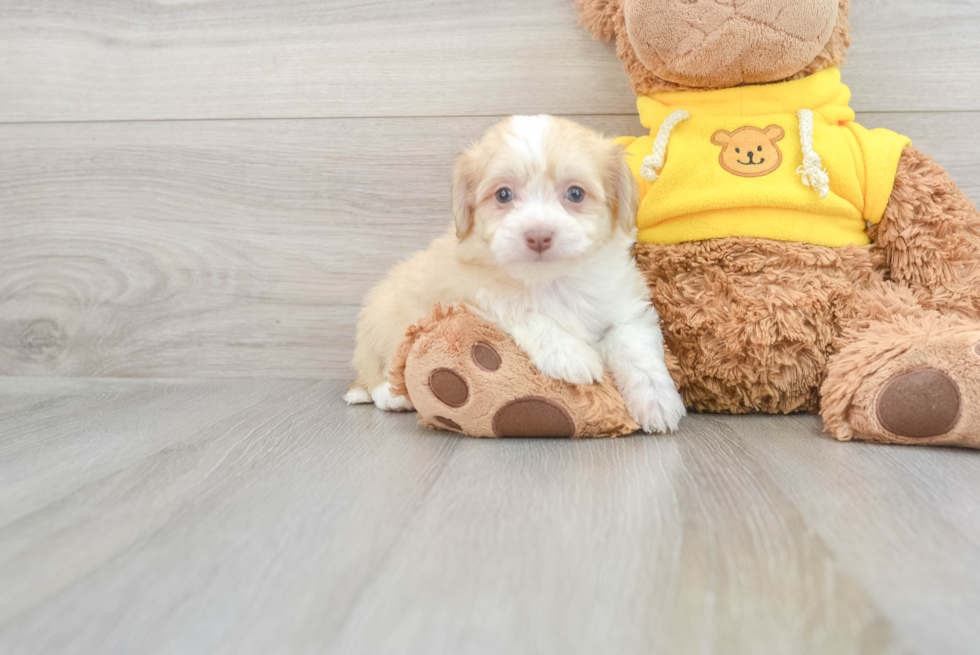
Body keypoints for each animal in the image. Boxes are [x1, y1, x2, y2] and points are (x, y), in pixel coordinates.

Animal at [348, 116, 684, 436]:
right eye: (503, 195)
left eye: (575, 194)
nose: (538, 235)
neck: (551, 280)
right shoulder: (465, 291)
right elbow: (518, 307)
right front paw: (571, 355)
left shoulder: (622, 301)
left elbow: (633, 342)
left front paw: (657, 401)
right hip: (383, 322)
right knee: (378, 371)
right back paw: (393, 396)